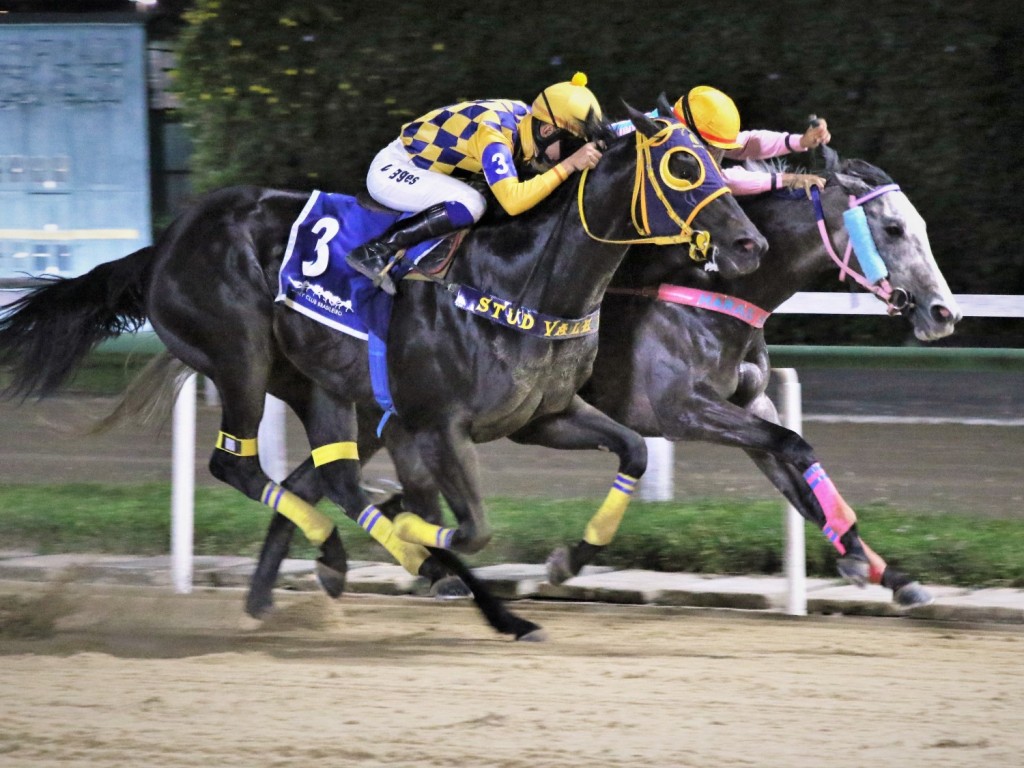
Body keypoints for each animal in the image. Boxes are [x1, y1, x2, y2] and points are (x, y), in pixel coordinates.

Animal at [0, 108, 765, 638]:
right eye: (683, 166)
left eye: (716, 160)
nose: (748, 243)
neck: (523, 281)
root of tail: (164, 244)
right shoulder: (435, 424)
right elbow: (466, 526)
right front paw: (439, 557)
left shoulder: (543, 417)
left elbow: (632, 449)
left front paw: (565, 559)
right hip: (240, 357)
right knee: (239, 465)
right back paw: (364, 557)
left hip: (322, 384)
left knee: (325, 476)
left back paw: (316, 571)